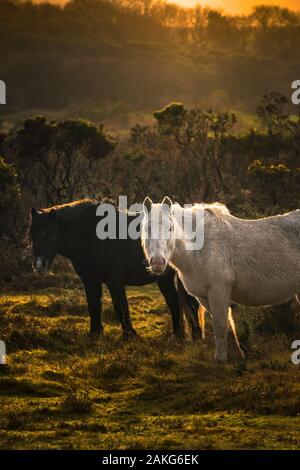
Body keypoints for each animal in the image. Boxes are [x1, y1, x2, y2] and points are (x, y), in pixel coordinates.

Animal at [29, 198, 200, 338]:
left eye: (50, 233)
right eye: (33, 234)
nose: (39, 265)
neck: (91, 235)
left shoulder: (114, 280)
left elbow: (120, 306)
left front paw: (130, 335)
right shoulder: (90, 280)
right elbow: (93, 305)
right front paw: (95, 333)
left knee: (191, 304)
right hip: (164, 278)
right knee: (174, 303)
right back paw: (178, 335)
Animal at [141, 196, 300, 362]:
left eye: (171, 228)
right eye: (147, 229)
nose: (157, 262)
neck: (200, 247)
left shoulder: (219, 291)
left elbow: (220, 324)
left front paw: (220, 358)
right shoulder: (204, 296)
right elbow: (228, 324)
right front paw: (237, 356)